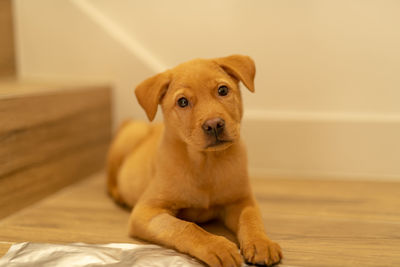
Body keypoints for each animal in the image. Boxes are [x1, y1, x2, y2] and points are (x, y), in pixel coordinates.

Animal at [106, 55, 282, 266]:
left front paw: (260, 243)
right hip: (131, 136)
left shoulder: (241, 200)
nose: (214, 124)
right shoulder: (146, 211)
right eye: (182, 102)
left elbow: (250, 218)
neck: (207, 163)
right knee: (110, 177)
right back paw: (118, 195)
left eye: (223, 90)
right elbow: (185, 227)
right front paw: (217, 246)